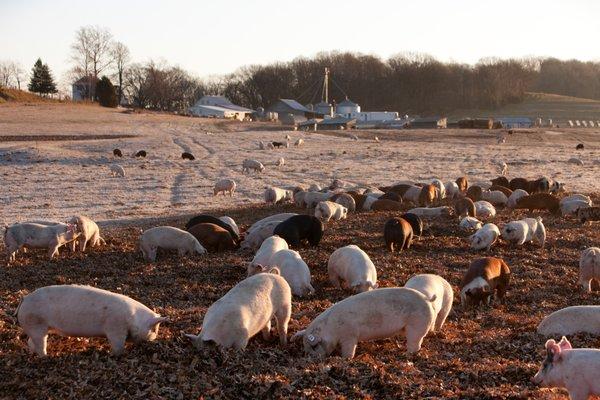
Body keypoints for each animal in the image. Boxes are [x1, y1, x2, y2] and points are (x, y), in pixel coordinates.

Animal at [16, 284, 166, 356]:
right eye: (154, 329)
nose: (154, 339)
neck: (134, 319)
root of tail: (24, 299)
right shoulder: (115, 328)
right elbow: (118, 346)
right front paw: (111, 354)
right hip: (35, 323)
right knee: (40, 344)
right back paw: (46, 356)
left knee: (31, 342)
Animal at [292, 288, 436, 360]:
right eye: (306, 347)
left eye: (314, 345)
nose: (312, 358)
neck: (331, 328)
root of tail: (427, 298)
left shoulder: (350, 335)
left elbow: (349, 349)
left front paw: (346, 359)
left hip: (416, 326)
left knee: (415, 344)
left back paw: (406, 355)